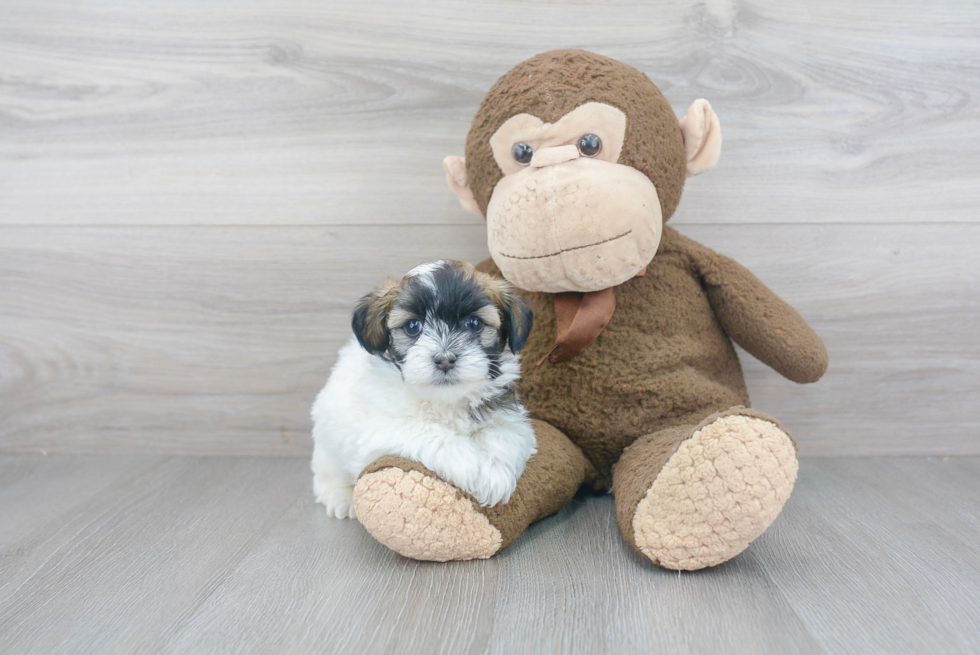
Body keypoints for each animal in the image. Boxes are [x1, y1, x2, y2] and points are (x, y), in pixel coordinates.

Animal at [310, 258, 536, 520]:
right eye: (412, 326)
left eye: (474, 323)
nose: (445, 359)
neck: (446, 400)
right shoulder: (380, 429)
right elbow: (427, 431)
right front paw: (468, 462)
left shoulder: (509, 417)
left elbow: (505, 435)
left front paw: (494, 473)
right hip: (328, 448)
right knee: (327, 476)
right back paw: (342, 497)